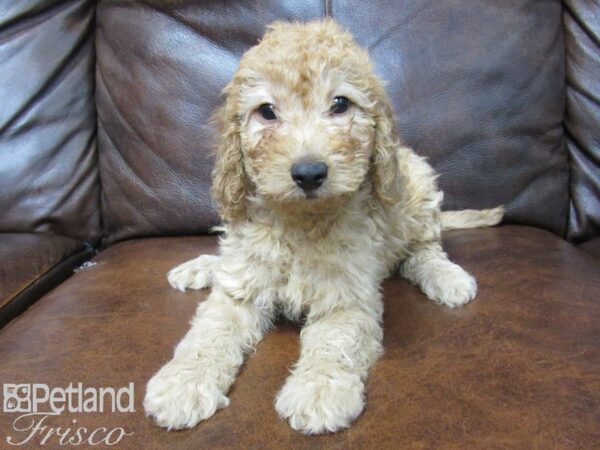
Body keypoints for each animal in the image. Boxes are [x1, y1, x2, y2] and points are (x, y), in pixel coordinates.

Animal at [143, 19, 504, 434]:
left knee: (423, 250)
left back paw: (446, 277)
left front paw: (319, 391)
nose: (309, 173)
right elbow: (210, 331)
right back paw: (200, 267)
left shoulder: (348, 298)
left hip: (418, 183)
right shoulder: (239, 291)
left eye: (340, 104)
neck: (301, 220)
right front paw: (182, 383)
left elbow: (336, 340)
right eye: (267, 112)